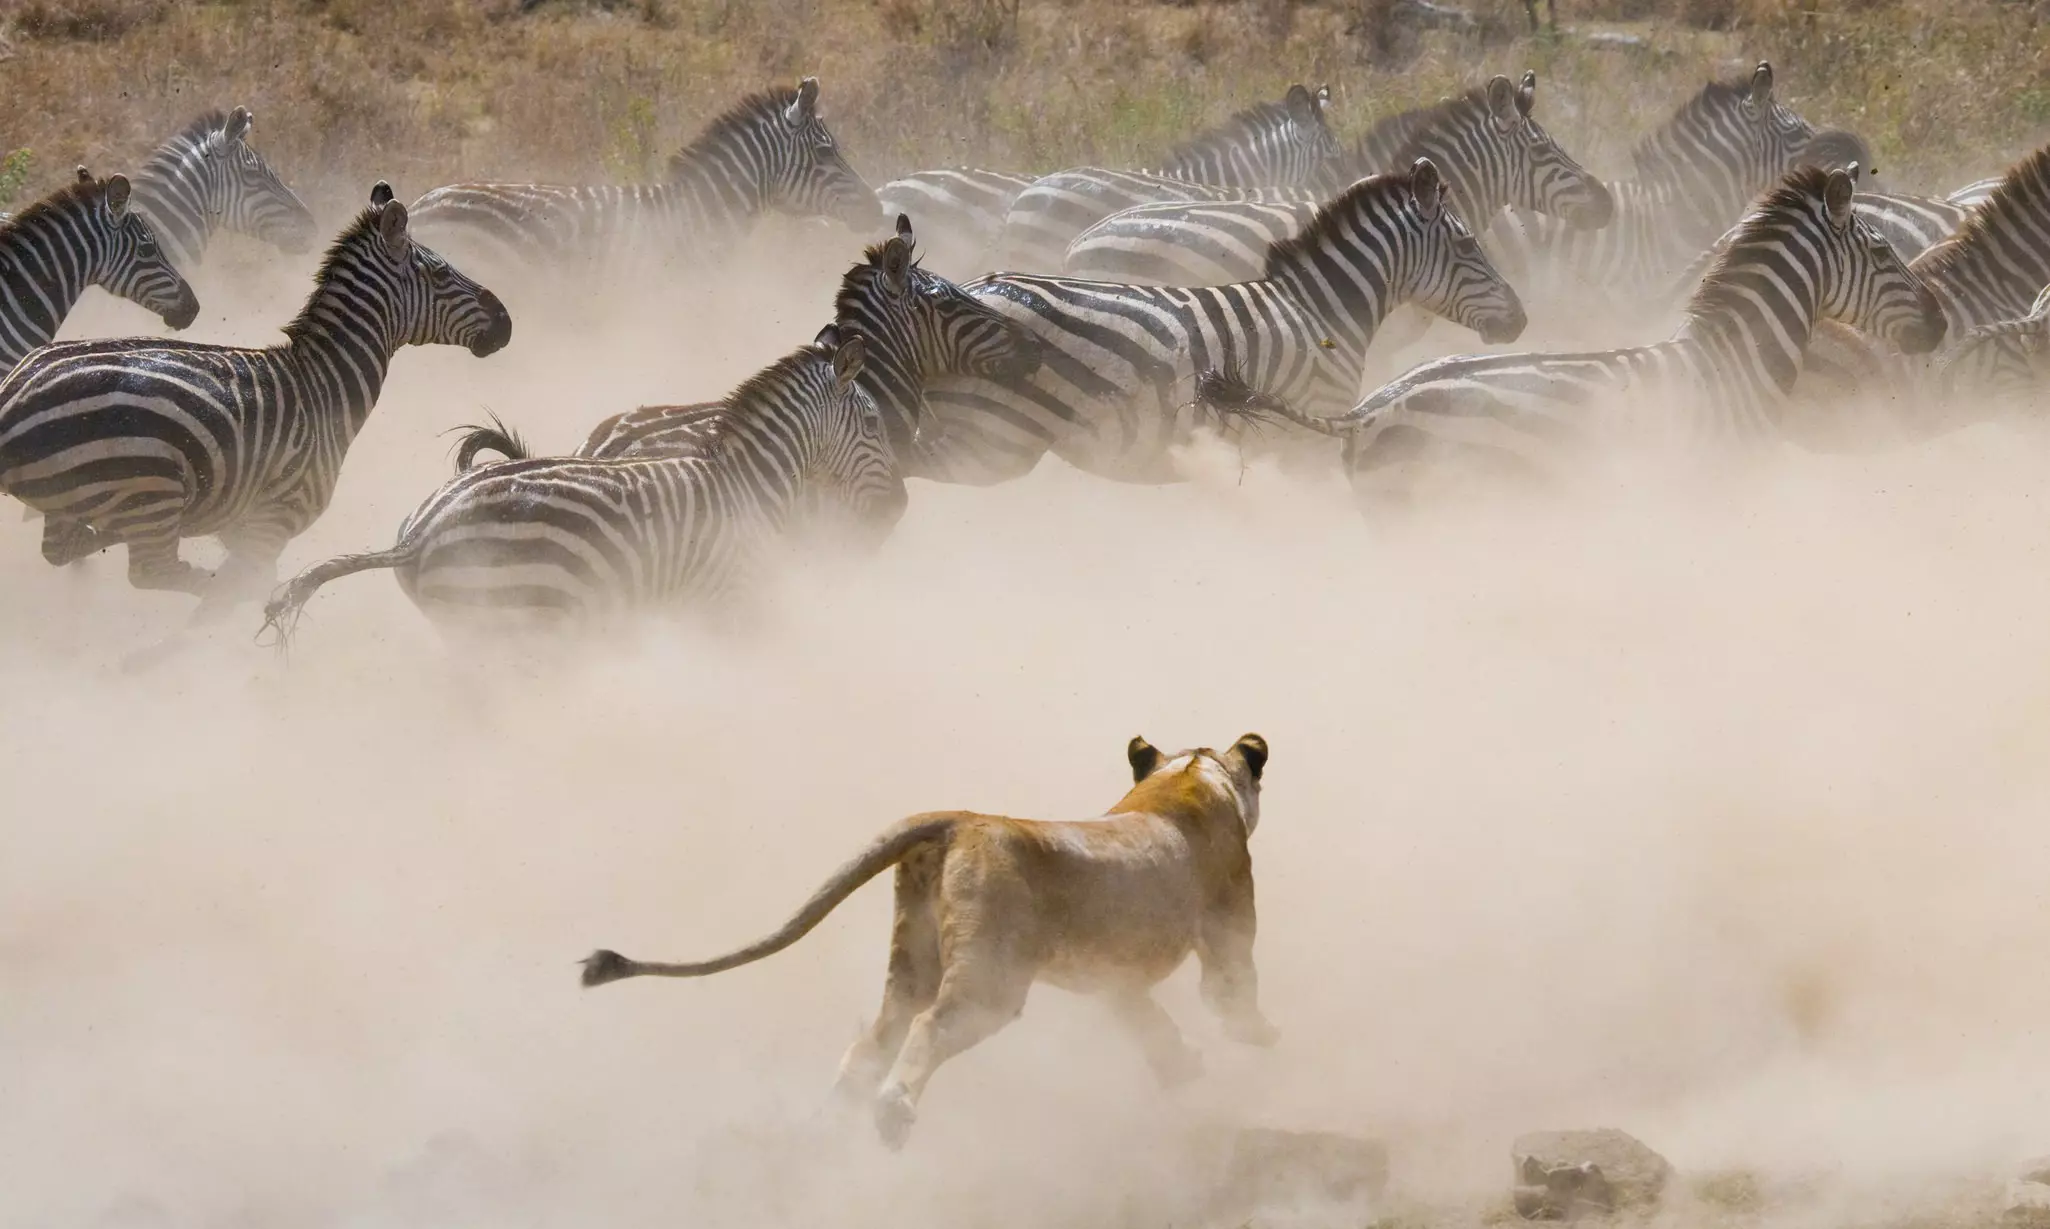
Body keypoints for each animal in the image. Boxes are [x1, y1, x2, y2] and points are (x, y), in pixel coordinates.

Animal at [580, 731, 1277, 1148]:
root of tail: (958, 819)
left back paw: (830, 1127)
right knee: (928, 1028)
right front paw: (1258, 1038)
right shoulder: (1227, 927)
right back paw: (891, 1117)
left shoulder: (1114, 979)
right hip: (991, 981)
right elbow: (1232, 993)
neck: (1190, 775)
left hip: (912, 959)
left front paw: (1183, 1070)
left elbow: (1148, 1024)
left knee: (872, 1040)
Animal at [915, 157, 1527, 486]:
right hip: (992, 436)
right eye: (1468, 245)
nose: (1521, 320)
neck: (1321, 310)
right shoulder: (1306, 436)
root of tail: (969, 287)